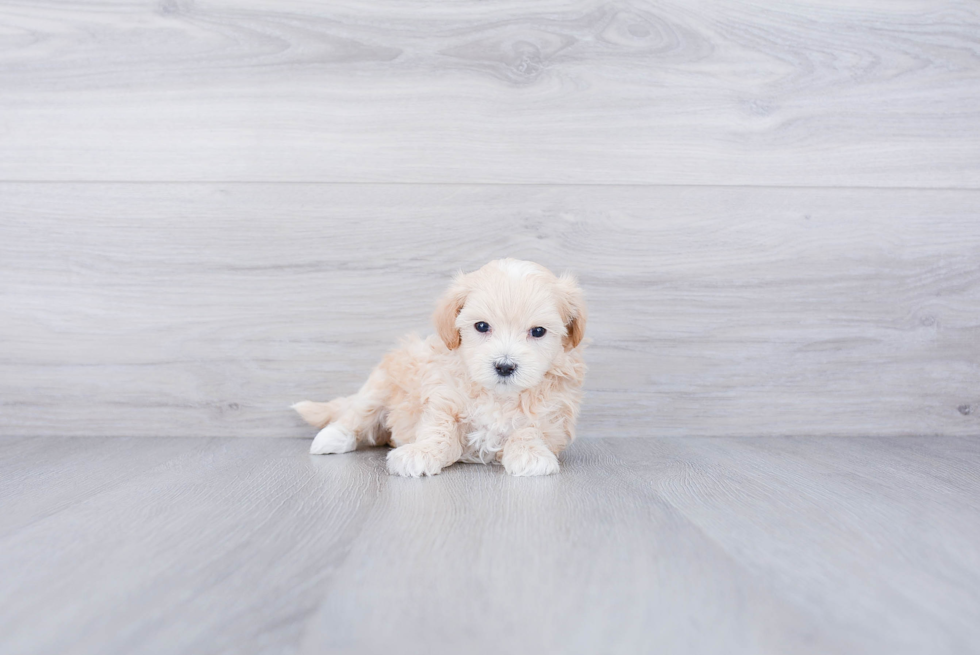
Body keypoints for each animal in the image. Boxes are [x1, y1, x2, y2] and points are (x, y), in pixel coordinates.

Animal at [290, 258, 580, 480]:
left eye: (538, 331)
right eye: (482, 326)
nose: (505, 366)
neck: (497, 395)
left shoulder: (550, 414)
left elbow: (529, 429)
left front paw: (531, 454)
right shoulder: (442, 400)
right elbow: (438, 432)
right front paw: (420, 453)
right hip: (380, 385)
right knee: (357, 414)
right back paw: (331, 438)